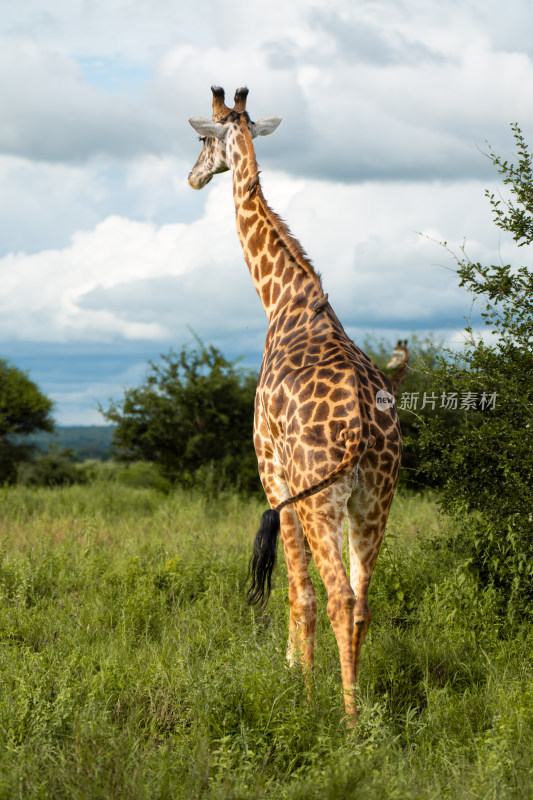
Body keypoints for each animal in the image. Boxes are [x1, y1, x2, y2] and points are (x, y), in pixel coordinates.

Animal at [187, 87, 400, 724]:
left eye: (201, 139)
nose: (192, 177)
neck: (282, 298)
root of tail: (365, 429)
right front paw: (298, 675)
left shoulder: (272, 476)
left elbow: (296, 589)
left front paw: (297, 686)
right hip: (375, 498)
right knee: (363, 599)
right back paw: (360, 706)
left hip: (319, 496)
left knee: (337, 596)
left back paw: (349, 722)